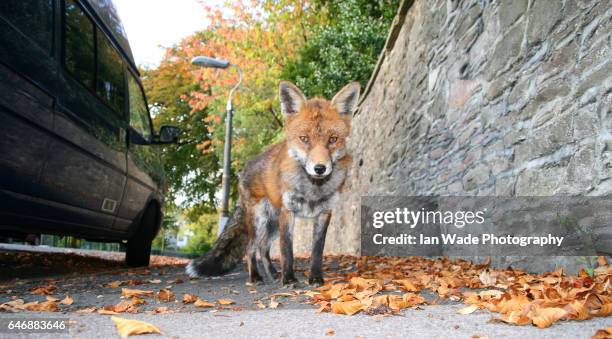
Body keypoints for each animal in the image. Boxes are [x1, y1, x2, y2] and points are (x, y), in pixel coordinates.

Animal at [185, 81, 358, 286]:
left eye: (333, 140)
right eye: (304, 139)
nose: (320, 168)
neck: (312, 189)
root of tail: (245, 168)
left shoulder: (324, 213)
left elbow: (317, 250)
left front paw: (315, 277)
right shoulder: (288, 212)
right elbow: (287, 251)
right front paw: (289, 279)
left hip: (273, 224)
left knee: (263, 247)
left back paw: (273, 274)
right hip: (260, 221)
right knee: (251, 248)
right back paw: (255, 277)